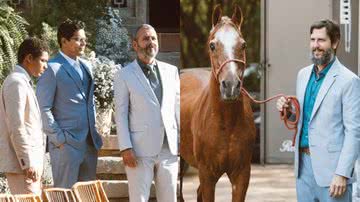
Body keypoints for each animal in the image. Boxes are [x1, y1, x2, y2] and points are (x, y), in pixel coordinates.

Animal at [180, 4, 256, 202]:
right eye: (212, 45)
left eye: (243, 44)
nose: (230, 86)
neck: (226, 123)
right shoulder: (207, 175)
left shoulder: (241, 175)